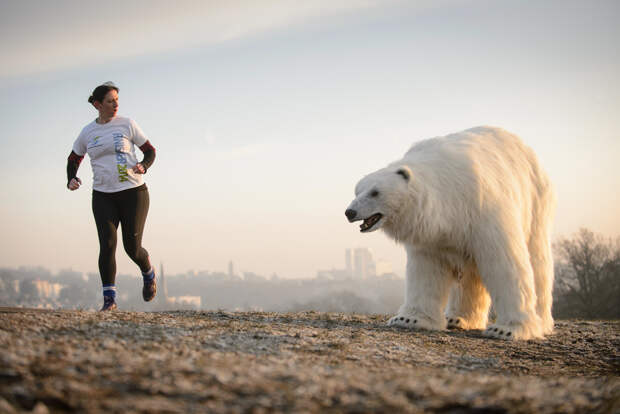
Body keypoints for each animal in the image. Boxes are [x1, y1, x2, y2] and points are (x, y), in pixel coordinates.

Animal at [346, 126, 556, 340]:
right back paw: (457, 319)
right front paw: (408, 319)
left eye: (375, 192)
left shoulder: (484, 209)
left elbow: (503, 263)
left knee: (537, 260)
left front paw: (506, 329)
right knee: (470, 277)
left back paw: (541, 322)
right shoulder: (431, 235)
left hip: (535, 200)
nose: (350, 212)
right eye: (357, 191)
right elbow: (427, 270)